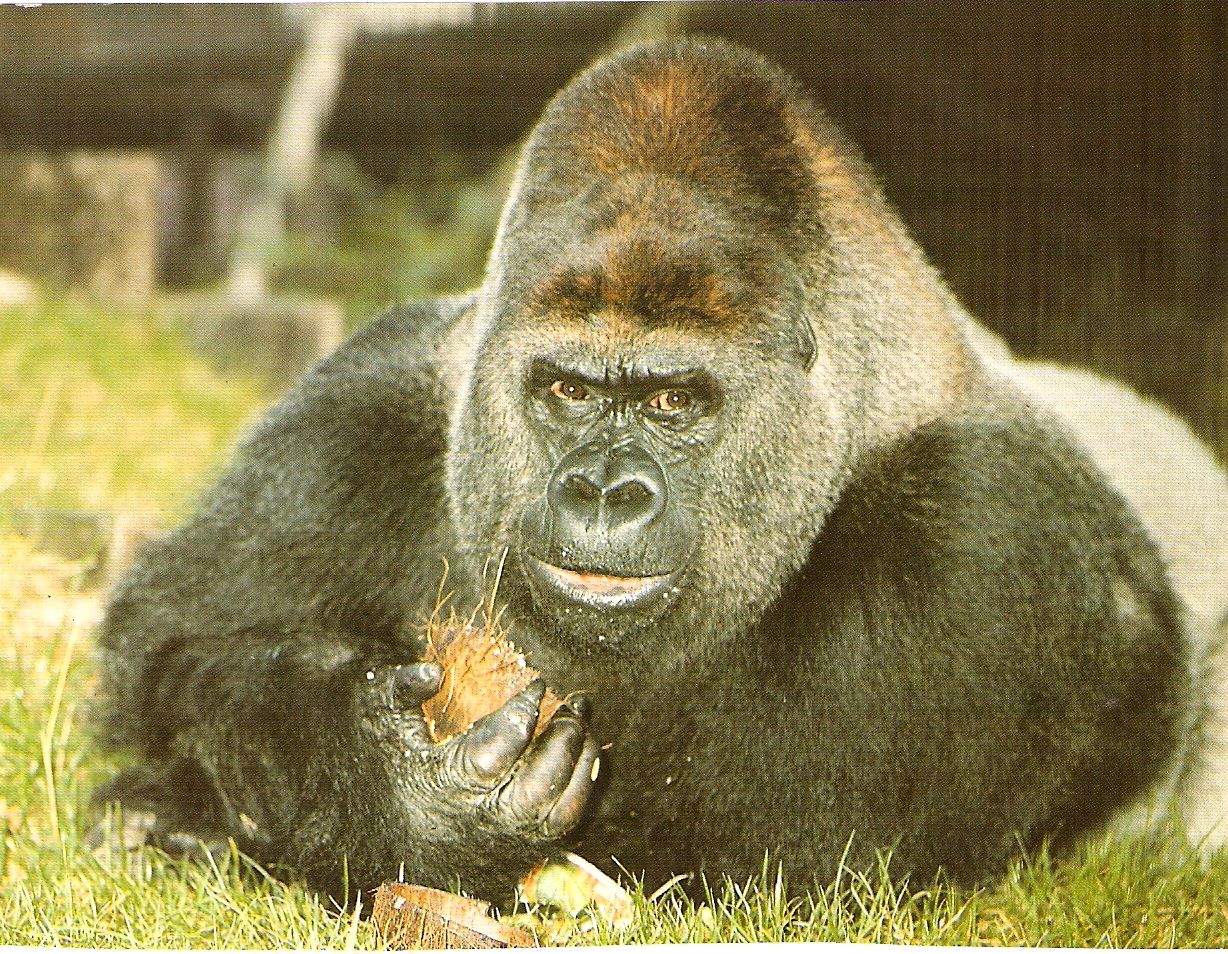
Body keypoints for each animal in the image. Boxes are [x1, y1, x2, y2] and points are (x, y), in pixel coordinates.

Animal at [91, 37, 1228, 905]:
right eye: (568, 391)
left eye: (677, 402)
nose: (602, 492)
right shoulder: (372, 399)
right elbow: (166, 647)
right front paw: (324, 738)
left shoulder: (985, 531)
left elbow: (773, 865)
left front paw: (352, 806)